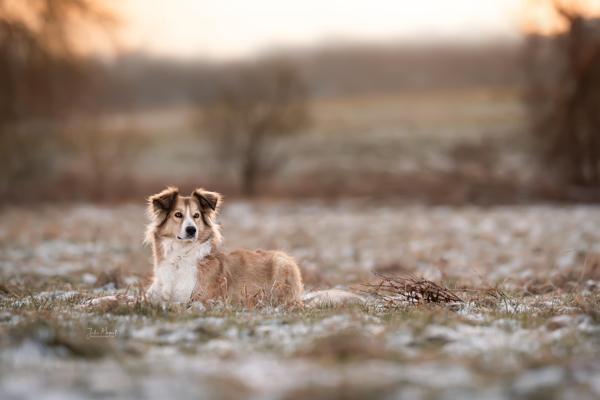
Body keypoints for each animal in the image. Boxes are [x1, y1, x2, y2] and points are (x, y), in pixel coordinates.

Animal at [144, 186, 304, 304]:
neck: (180, 256)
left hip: (281, 264)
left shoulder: (199, 298)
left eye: (196, 216)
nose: (191, 230)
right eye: (178, 214)